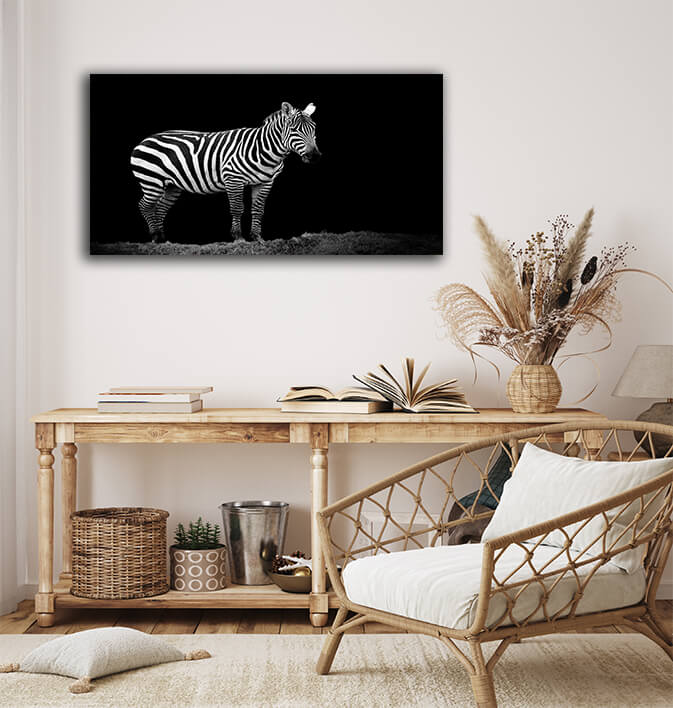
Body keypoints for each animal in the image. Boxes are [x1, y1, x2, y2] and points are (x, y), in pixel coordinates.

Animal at [130, 101, 321, 243]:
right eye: (295, 130)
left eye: (314, 129)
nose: (315, 156)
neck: (265, 151)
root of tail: (145, 139)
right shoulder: (233, 179)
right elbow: (237, 208)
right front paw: (238, 238)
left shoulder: (265, 182)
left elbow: (258, 209)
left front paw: (257, 237)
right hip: (151, 180)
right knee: (145, 205)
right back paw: (155, 236)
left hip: (172, 186)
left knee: (160, 208)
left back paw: (163, 240)